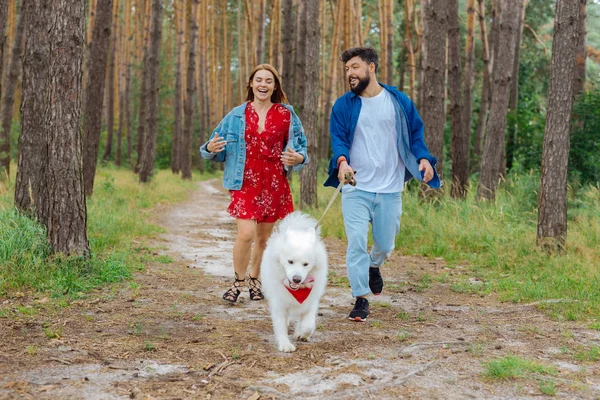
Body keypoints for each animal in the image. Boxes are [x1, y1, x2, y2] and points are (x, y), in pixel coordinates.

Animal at [260, 211, 328, 352]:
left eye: (306, 264)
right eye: (290, 261)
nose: (297, 279)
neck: (298, 290)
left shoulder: (311, 300)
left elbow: (308, 324)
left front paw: (303, 334)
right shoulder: (279, 303)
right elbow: (281, 326)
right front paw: (285, 344)